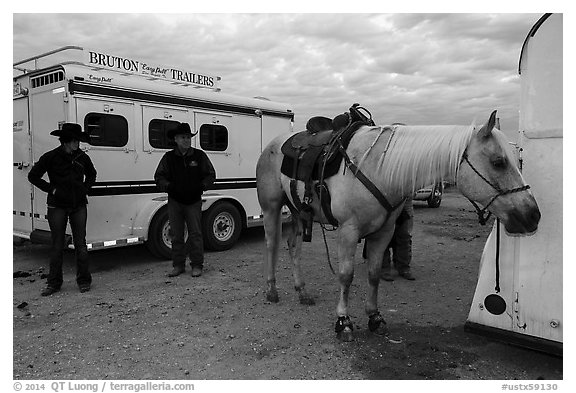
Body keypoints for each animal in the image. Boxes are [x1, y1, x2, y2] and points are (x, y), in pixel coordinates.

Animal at [256, 111, 540, 340]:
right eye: (498, 162)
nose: (533, 215)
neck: (378, 166)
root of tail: (275, 144)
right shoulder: (348, 232)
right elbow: (346, 276)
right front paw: (343, 322)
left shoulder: (384, 232)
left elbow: (373, 274)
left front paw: (374, 317)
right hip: (272, 208)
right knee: (271, 244)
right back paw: (271, 290)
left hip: (297, 212)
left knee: (293, 246)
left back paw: (302, 292)